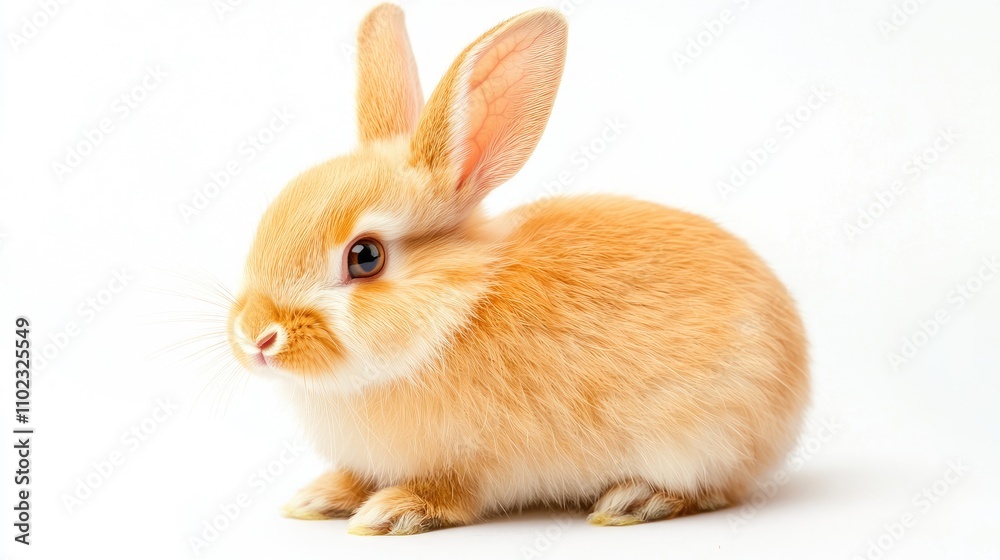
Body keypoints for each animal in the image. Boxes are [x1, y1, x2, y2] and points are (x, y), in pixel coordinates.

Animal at [225, 3, 809, 535]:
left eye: (365, 256)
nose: (257, 337)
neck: (452, 311)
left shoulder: (474, 463)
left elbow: (452, 493)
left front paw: (392, 512)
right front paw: (319, 498)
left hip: (706, 439)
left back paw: (635, 501)